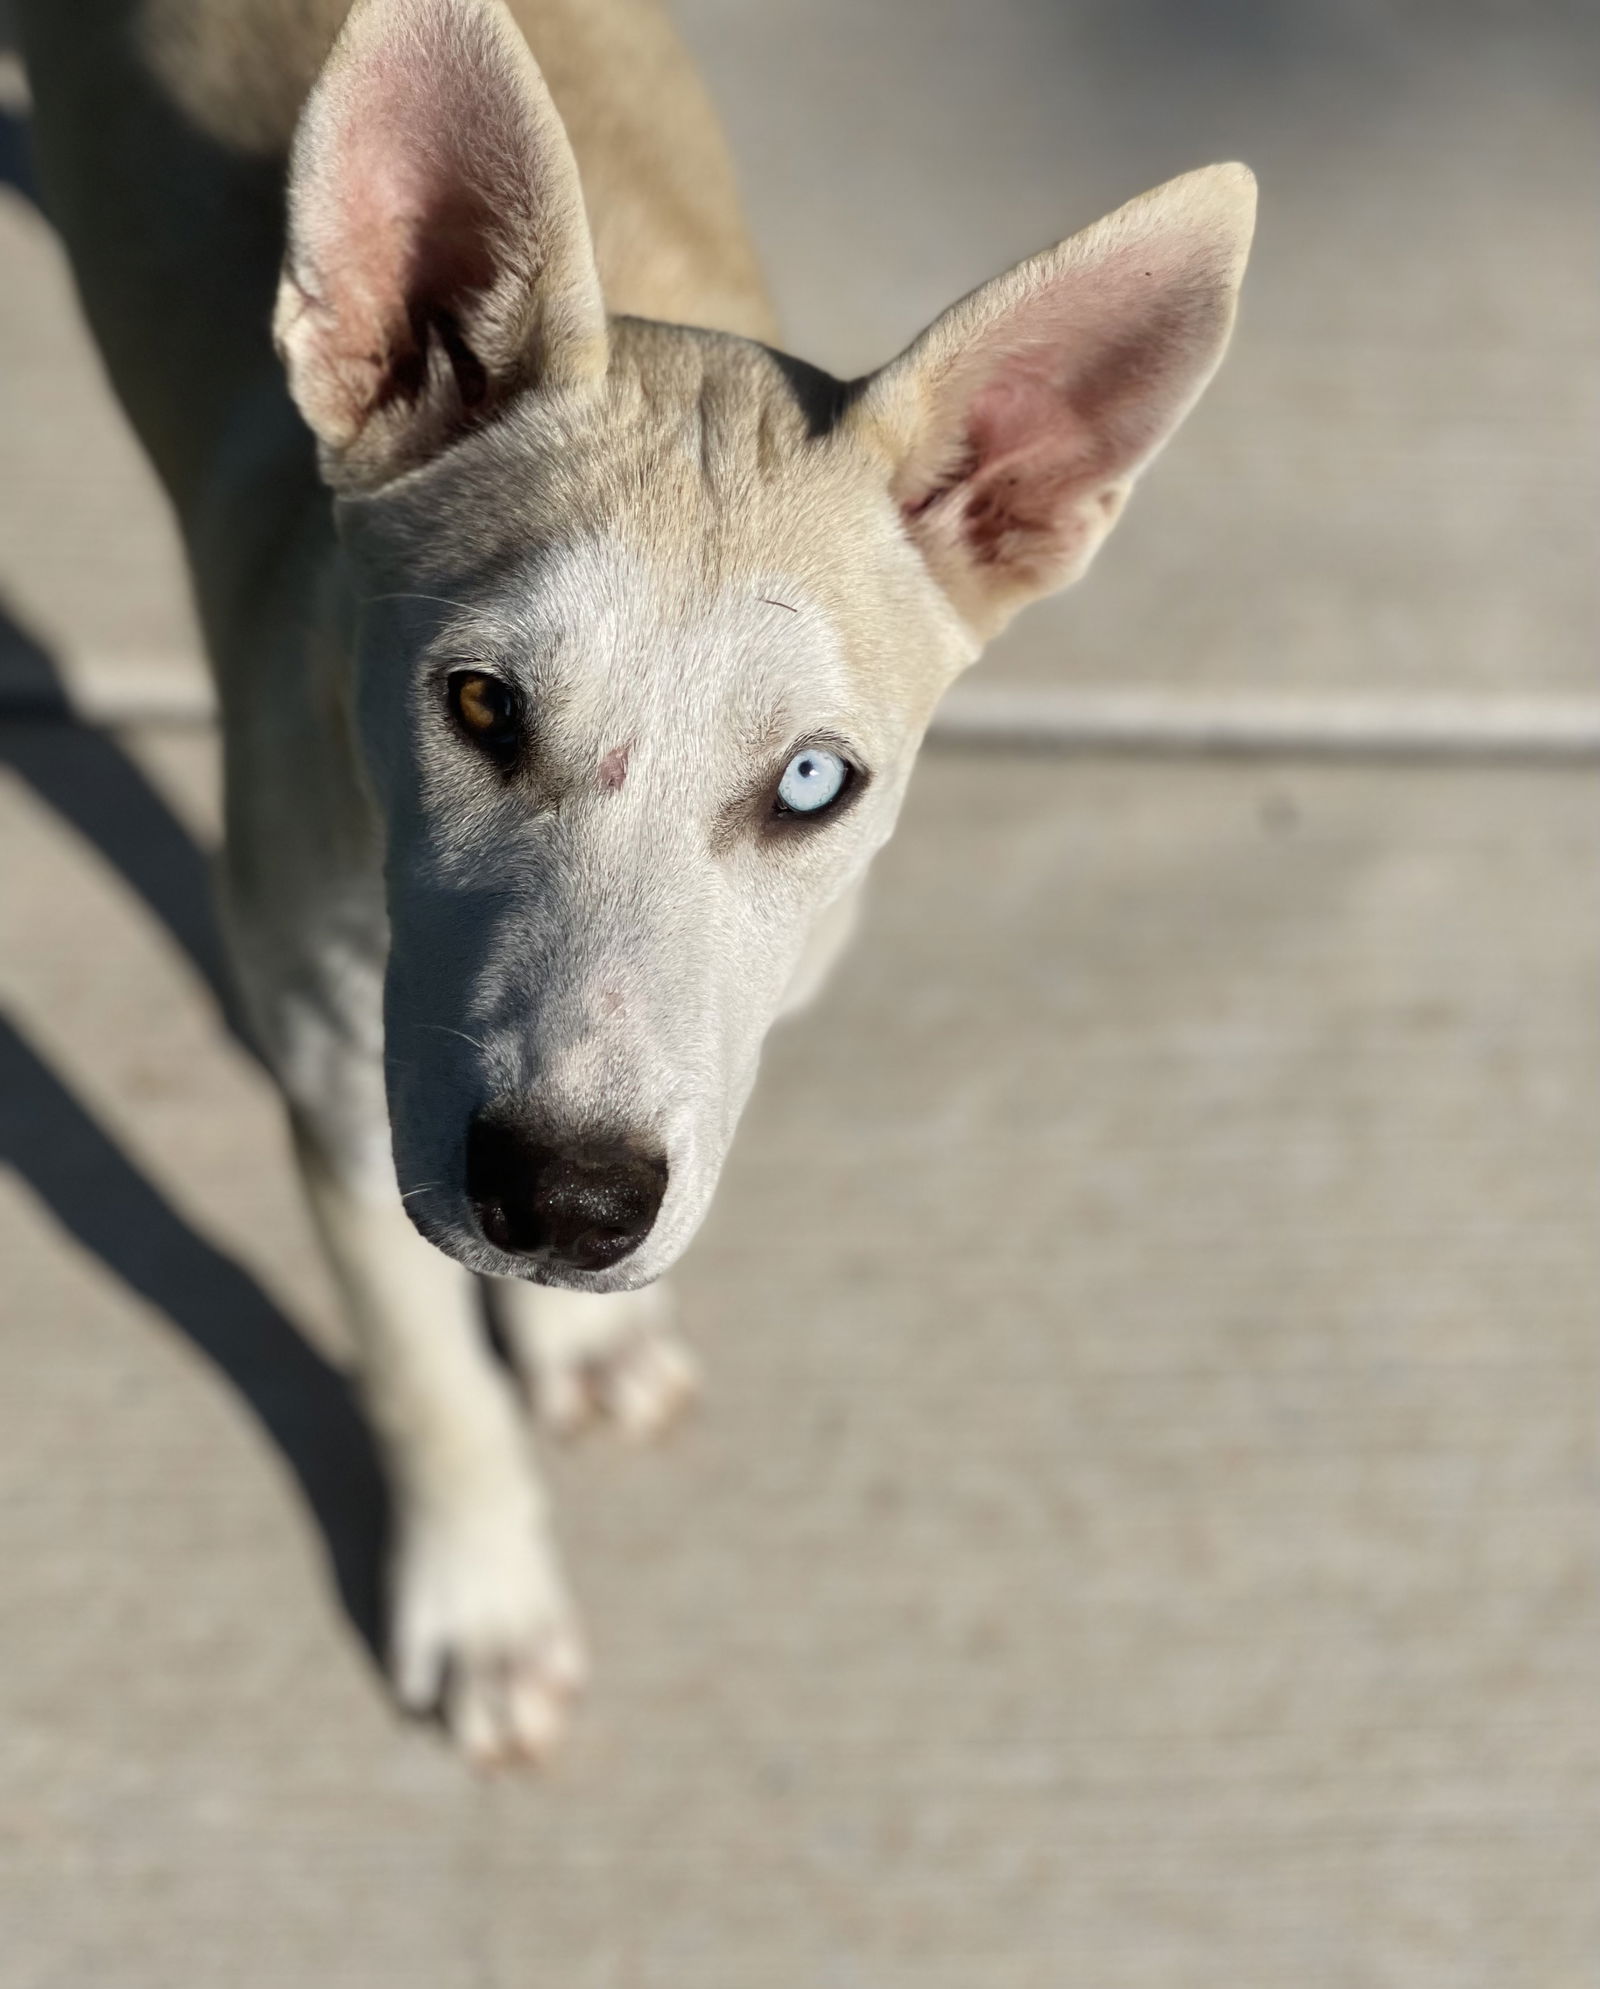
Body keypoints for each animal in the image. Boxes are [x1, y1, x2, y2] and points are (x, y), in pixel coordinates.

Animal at [18, 0, 1257, 1766]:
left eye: (812, 783)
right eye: (479, 702)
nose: (567, 1203)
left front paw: (578, 1335)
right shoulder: (339, 1076)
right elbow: (422, 1368)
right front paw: (485, 1609)